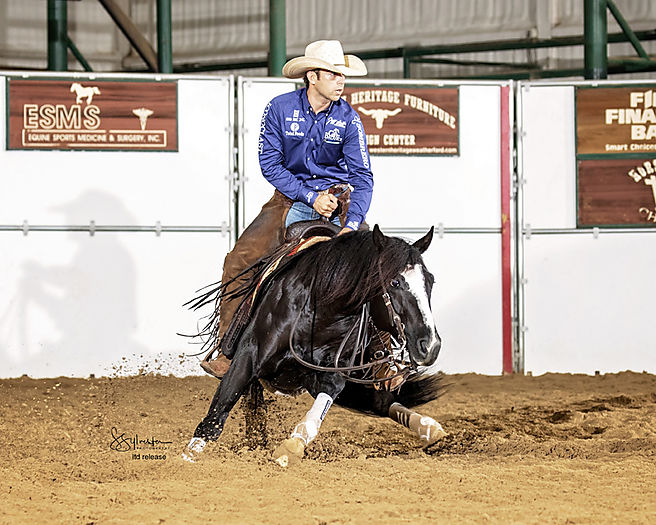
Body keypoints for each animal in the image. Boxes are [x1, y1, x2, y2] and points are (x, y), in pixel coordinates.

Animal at [183, 225, 444, 466]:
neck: (322, 311)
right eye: (395, 282)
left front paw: (290, 448)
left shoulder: (334, 373)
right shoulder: (248, 355)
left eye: (430, 281)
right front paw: (188, 456)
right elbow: (218, 412)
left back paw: (430, 428)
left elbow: (317, 414)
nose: (430, 345)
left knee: (380, 402)